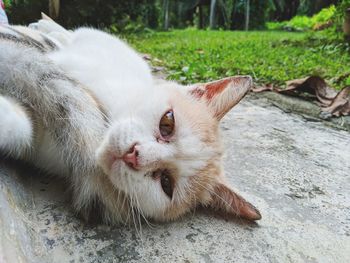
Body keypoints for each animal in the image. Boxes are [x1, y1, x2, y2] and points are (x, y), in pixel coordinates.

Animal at [0, 17, 260, 226]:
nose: (133, 155)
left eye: (166, 183)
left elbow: (21, 129)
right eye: (167, 123)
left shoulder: (38, 140)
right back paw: (48, 28)